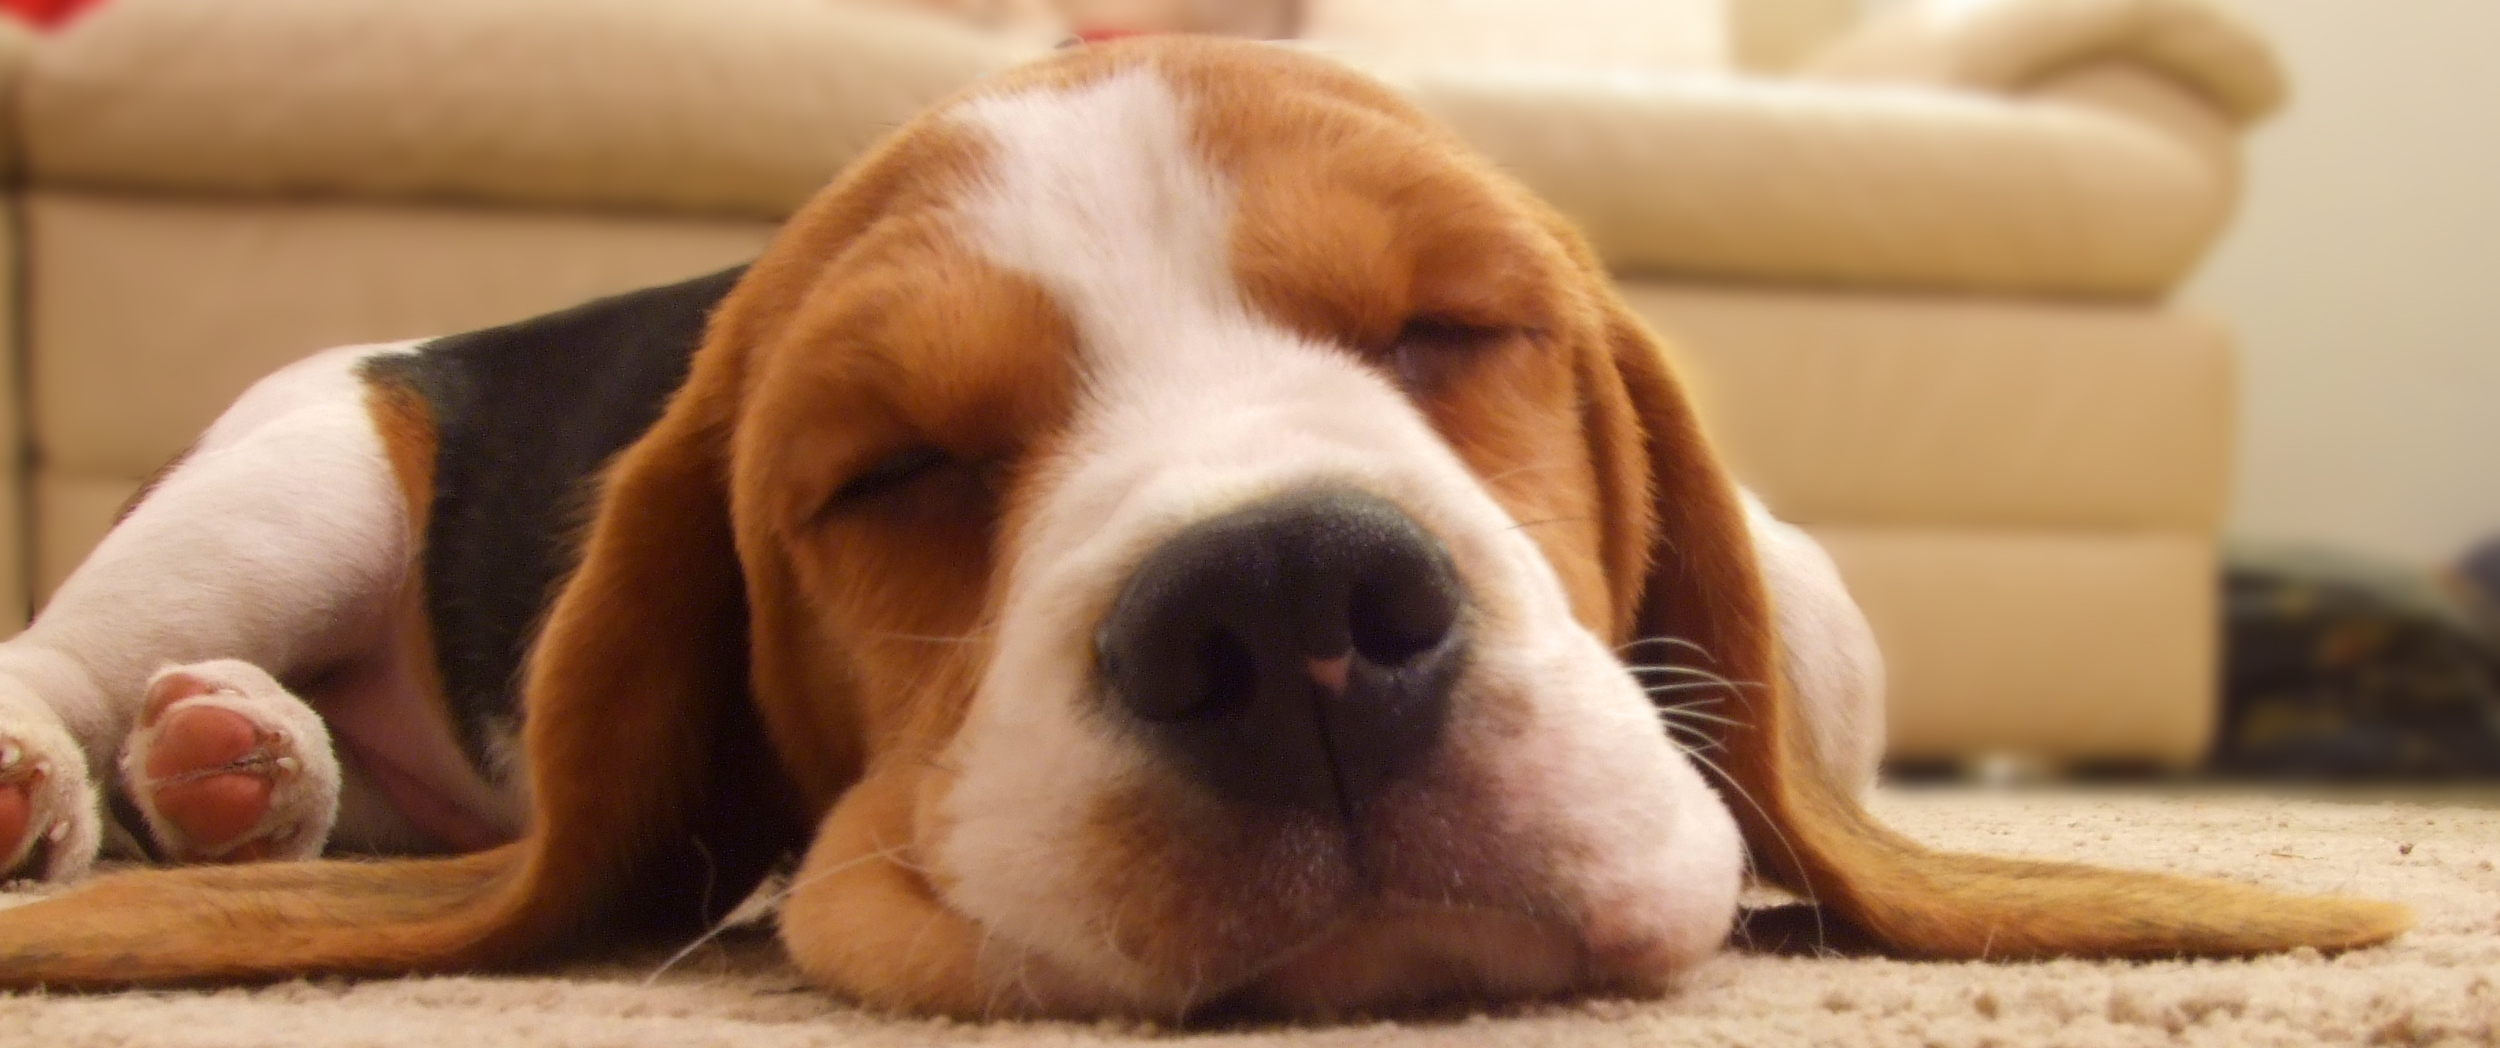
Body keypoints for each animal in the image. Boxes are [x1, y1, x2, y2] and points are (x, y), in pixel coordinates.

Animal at [0, 38, 2410, 1015]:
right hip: (303, 463)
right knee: (69, 646)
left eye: (1452, 324)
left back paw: (244, 770)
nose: (1290, 614)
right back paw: (100, 773)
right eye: (889, 470)